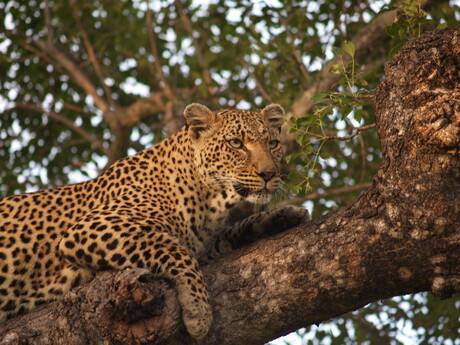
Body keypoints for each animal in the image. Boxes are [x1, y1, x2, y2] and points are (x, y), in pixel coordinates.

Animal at [0, 103, 310, 338]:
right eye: (236, 144)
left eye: (273, 143)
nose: (269, 174)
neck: (210, 201)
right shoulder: (92, 227)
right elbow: (175, 251)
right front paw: (198, 311)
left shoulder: (204, 243)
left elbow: (227, 234)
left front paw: (282, 216)